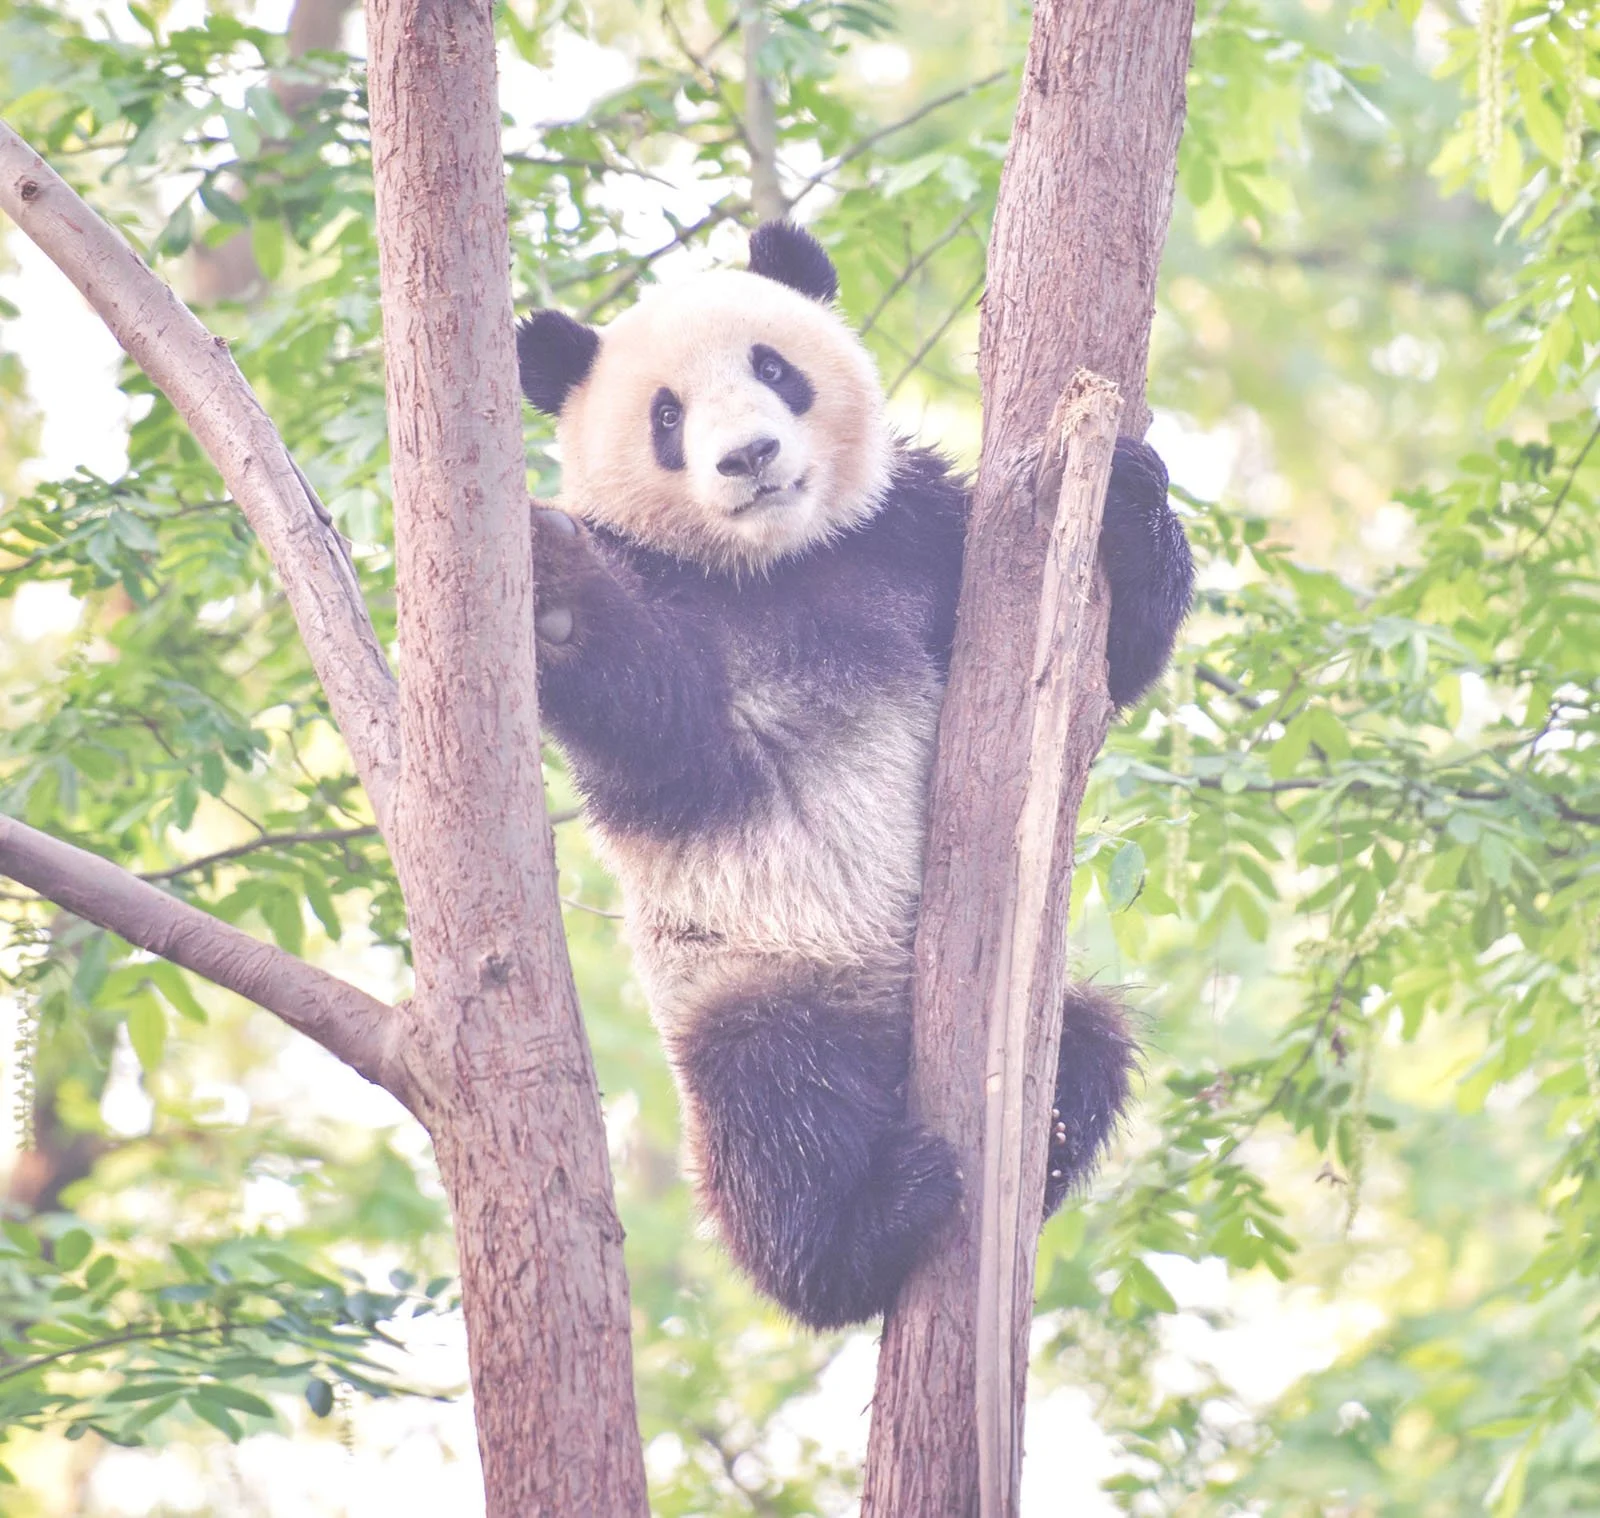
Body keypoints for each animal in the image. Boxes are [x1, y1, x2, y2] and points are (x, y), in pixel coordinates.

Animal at [516, 221, 1193, 1330]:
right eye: (667, 416)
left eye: (773, 369)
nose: (748, 457)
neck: (777, 562)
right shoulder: (670, 605)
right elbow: (665, 725)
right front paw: (560, 596)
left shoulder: (911, 534)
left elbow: (1111, 667)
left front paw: (1128, 495)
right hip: (754, 971)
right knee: (774, 1108)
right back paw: (862, 1233)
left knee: (1091, 1042)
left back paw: (1040, 1133)